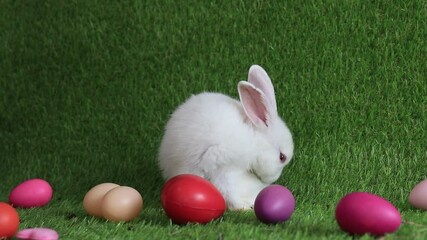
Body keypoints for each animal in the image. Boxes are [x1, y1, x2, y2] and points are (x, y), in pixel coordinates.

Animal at [157, 64, 294, 209]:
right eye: (282, 157)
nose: (273, 179)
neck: (254, 141)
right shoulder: (223, 164)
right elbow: (229, 192)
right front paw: (244, 207)